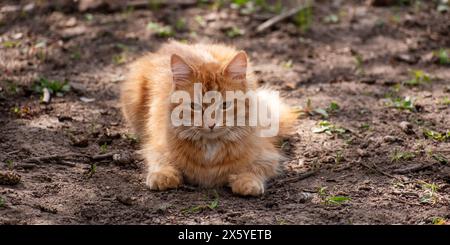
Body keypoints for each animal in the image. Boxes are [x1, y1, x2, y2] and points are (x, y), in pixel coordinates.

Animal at [119, 40, 298, 197]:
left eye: (225, 105)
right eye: (195, 106)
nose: (211, 124)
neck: (211, 149)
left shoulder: (268, 155)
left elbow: (254, 169)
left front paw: (246, 182)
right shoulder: (156, 146)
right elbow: (161, 161)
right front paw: (163, 175)